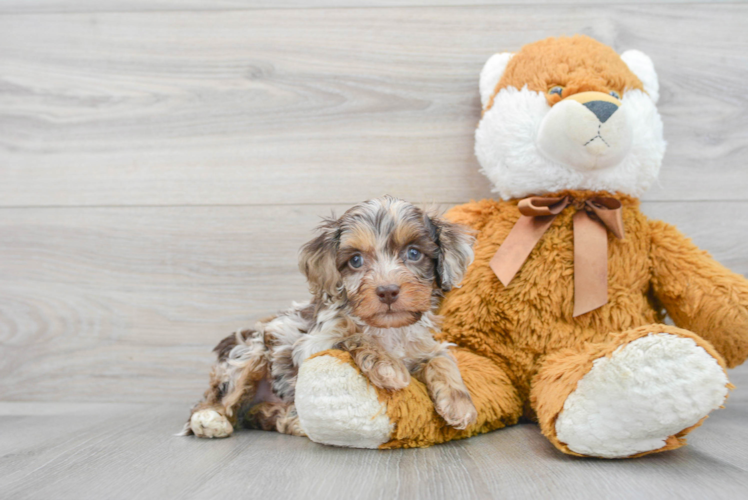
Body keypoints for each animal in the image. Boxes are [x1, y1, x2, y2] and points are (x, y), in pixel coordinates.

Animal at [183, 197, 474, 440]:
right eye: (355, 260)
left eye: (413, 253)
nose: (388, 291)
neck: (388, 330)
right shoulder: (314, 343)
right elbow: (355, 336)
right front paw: (388, 367)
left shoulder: (424, 346)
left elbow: (442, 360)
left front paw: (459, 404)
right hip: (249, 351)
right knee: (219, 395)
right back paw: (209, 419)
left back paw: (290, 420)